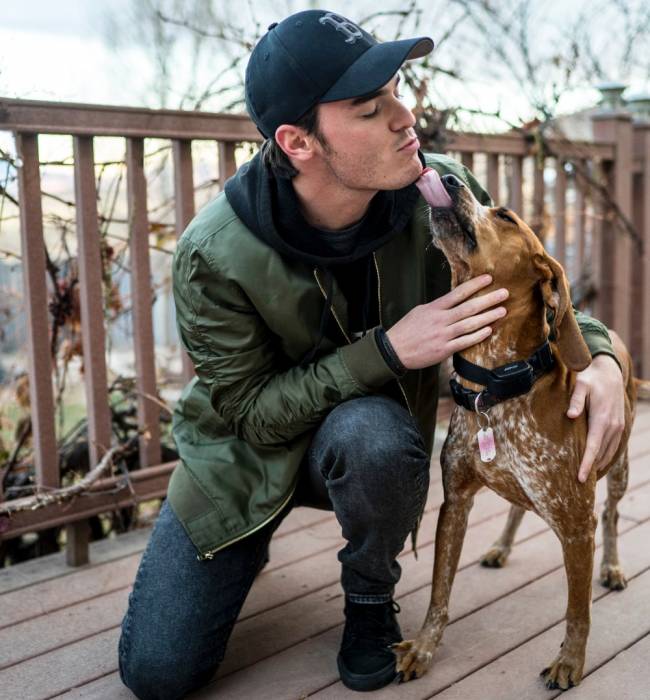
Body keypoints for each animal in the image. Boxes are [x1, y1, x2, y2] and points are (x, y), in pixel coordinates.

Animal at [394, 168, 648, 688]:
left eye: (506, 216)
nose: (448, 177)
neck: (496, 386)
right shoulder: (455, 504)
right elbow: (438, 595)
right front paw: (425, 647)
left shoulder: (577, 524)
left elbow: (578, 611)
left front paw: (570, 661)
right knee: (517, 507)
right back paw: (501, 545)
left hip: (619, 468)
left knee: (613, 516)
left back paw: (612, 565)